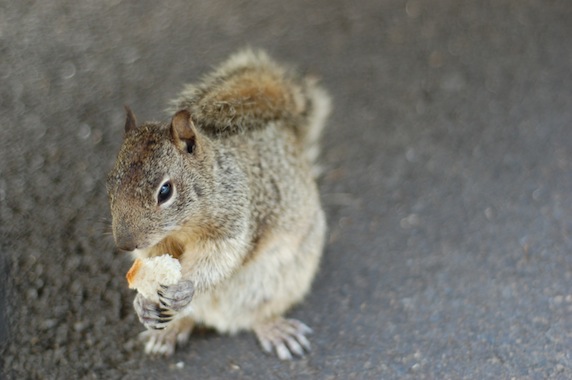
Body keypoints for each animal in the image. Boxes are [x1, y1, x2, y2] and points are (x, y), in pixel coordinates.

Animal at [106, 49, 330, 360]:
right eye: (110, 183)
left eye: (165, 191)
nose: (126, 245)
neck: (184, 226)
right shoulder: (157, 245)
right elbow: (153, 257)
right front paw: (142, 302)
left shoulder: (239, 218)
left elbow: (222, 257)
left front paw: (185, 287)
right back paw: (166, 332)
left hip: (281, 280)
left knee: (256, 314)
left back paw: (275, 329)